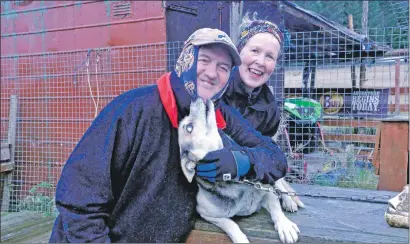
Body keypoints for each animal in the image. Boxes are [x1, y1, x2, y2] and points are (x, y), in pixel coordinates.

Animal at [179, 98, 302, 243]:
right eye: (189, 127)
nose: (194, 99)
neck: (239, 184)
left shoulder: (267, 191)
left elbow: (276, 207)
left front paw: (285, 225)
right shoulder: (206, 213)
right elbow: (230, 224)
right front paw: (240, 238)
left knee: (280, 186)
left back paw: (289, 202)